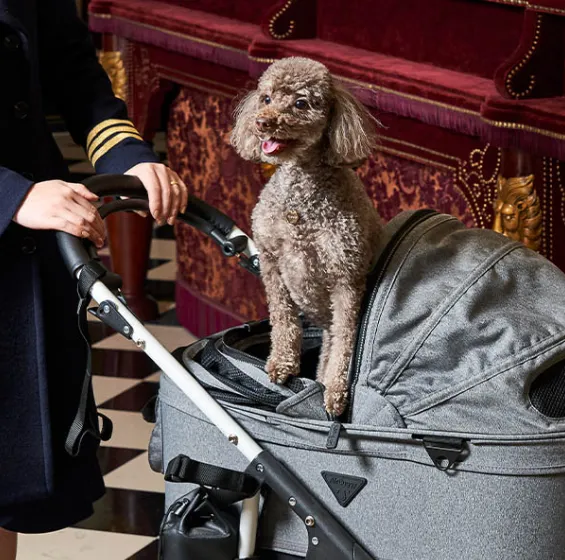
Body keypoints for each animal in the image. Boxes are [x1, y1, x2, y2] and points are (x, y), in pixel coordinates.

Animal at [230, 58, 384, 416]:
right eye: (266, 98)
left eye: (301, 103)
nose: (262, 122)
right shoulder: (271, 263)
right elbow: (283, 320)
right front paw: (281, 364)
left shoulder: (346, 279)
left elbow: (346, 340)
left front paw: (336, 393)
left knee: (333, 343)